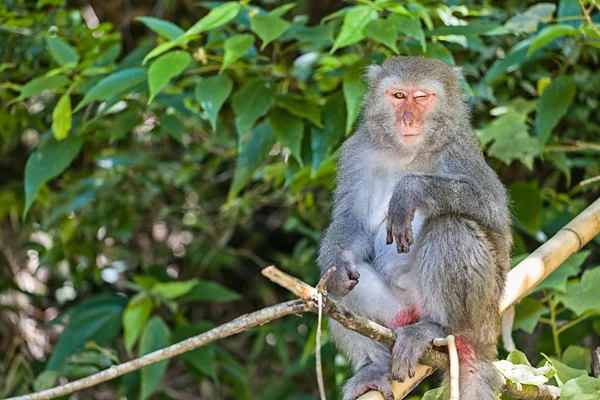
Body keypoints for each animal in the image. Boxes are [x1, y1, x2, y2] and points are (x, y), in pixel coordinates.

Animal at [318, 57, 510, 400]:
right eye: (398, 96)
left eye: (420, 97)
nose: (407, 120)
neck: (408, 152)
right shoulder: (356, 153)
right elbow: (351, 222)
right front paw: (338, 267)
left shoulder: (461, 149)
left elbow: (494, 213)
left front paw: (410, 191)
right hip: (396, 314)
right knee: (329, 289)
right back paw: (373, 367)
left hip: (482, 317)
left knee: (451, 225)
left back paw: (437, 327)